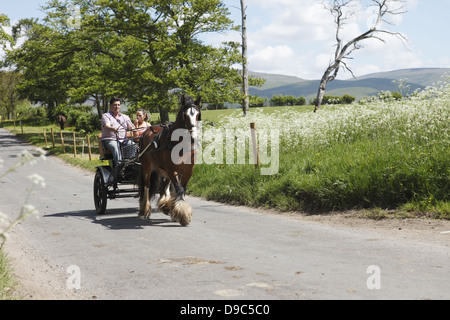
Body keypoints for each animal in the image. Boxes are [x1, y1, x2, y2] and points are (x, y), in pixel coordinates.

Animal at [137, 94, 200, 225]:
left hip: (164, 169)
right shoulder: (171, 169)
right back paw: (144, 209)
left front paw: (176, 210)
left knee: (165, 185)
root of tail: (146, 131)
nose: (193, 138)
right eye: (185, 115)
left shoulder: (187, 170)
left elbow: (181, 189)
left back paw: (165, 206)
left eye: (197, 114)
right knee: (146, 186)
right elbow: (179, 189)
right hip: (147, 167)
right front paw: (183, 214)